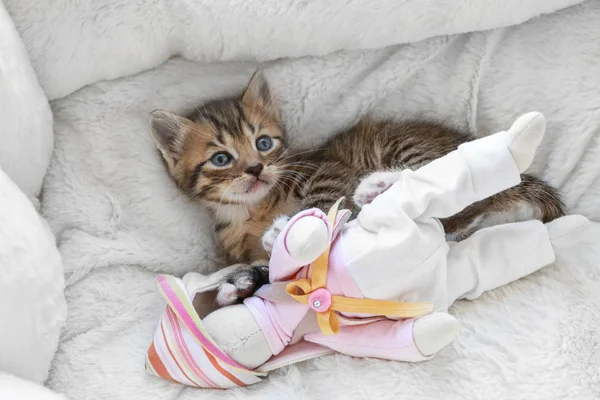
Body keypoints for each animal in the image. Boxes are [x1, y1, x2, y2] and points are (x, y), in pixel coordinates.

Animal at [150, 72, 564, 304]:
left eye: (263, 143)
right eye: (221, 159)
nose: (255, 168)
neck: (252, 210)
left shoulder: (326, 170)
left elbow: (317, 203)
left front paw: (289, 230)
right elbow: (269, 268)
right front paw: (238, 285)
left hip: (403, 145)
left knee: (444, 188)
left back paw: (377, 186)